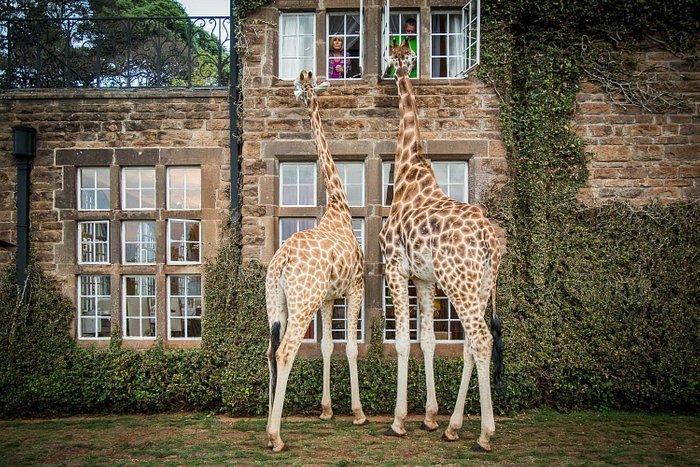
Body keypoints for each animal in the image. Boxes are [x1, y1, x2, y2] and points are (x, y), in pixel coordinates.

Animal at [266, 70, 370, 454]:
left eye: (303, 88)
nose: (302, 90)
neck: (339, 205)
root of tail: (282, 261)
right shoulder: (355, 286)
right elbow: (351, 348)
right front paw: (358, 412)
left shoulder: (328, 297)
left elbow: (327, 346)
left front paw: (326, 409)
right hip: (303, 301)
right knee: (285, 352)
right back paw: (275, 437)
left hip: (277, 302)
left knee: (269, 352)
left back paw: (267, 425)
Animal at [378, 41, 504, 454]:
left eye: (394, 55)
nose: (390, 70)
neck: (408, 172)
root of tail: (489, 240)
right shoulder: (424, 279)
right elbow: (429, 340)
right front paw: (430, 416)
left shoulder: (395, 267)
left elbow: (403, 341)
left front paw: (399, 421)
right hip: (479, 285)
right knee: (470, 344)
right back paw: (453, 426)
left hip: (460, 284)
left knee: (481, 339)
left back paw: (484, 434)